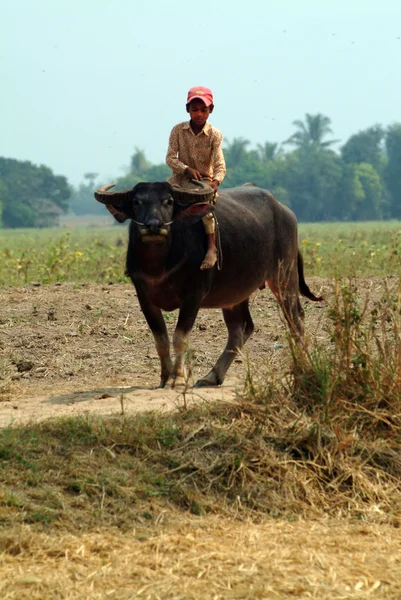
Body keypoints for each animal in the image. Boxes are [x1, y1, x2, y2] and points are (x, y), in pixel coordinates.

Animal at [94, 183, 322, 390]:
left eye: (168, 201)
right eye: (136, 202)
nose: (153, 225)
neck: (159, 265)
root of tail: (285, 211)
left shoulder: (193, 296)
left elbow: (180, 337)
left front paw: (178, 378)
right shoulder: (145, 298)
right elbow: (161, 340)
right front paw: (164, 377)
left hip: (284, 277)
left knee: (295, 319)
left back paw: (302, 367)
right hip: (234, 294)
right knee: (241, 329)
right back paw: (213, 376)